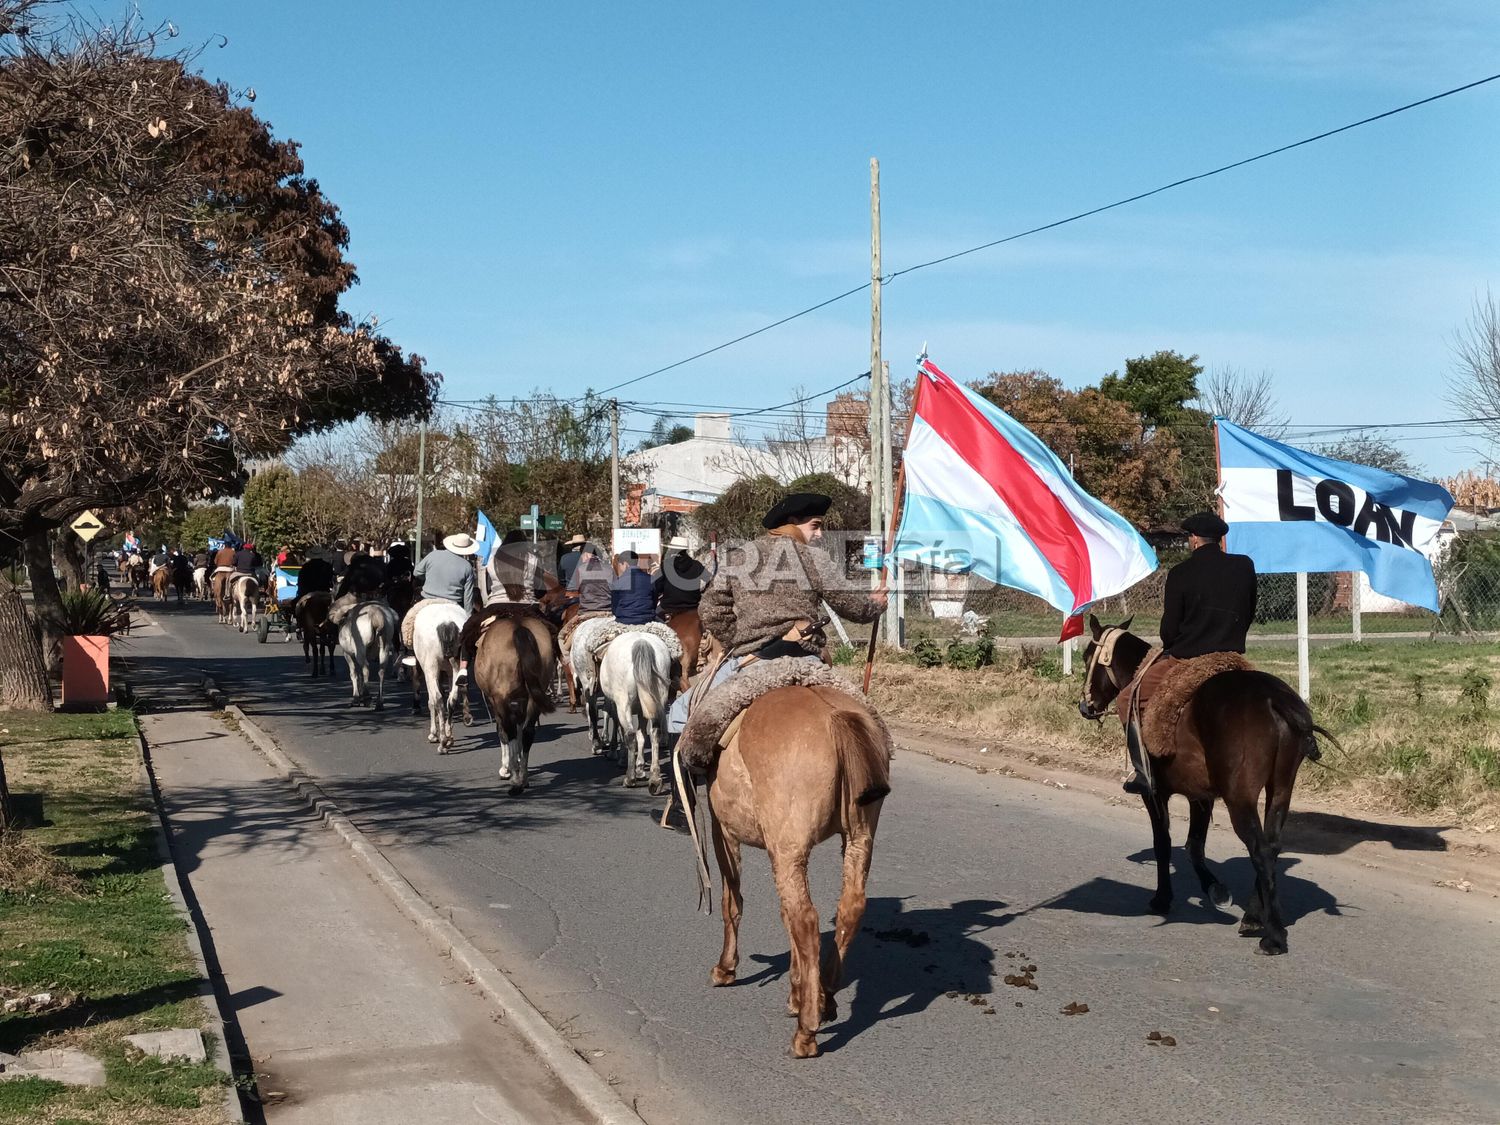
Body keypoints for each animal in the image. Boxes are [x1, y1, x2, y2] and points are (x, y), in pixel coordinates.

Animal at [411, 603, 468, 753]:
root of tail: (447, 623)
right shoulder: (448, 672)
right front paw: (448, 735)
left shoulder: (429, 671)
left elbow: (431, 701)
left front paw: (433, 734)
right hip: (457, 667)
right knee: (452, 699)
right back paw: (448, 737)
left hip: (431, 667)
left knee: (438, 699)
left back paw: (442, 742)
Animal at [468, 618, 558, 792]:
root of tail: (519, 627)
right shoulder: (521, 701)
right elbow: (519, 732)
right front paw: (517, 761)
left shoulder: (495, 701)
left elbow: (504, 731)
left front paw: (506, 768)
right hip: (535, 695)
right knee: (528, 732)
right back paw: (523, 778)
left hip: (501, 698)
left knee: (508, 730)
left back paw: (516, 780)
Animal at [597, 636, 675, 792]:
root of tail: (641, 642)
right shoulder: (642, 709)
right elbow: (642, 735)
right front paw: (640, 768)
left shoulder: (616, 704)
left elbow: (620, 727)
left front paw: (620, 756)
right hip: (657, 699)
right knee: (654, 732)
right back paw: (655, 779)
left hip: (624, 703)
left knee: (630, 734)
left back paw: (630, 778)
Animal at [702, 684, 888, 1062]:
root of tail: (835, 716)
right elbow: (784, 918)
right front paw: (798, 991)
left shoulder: (723, 831)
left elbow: (732, 902)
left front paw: (726, 968)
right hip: (857, 837)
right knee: (847, 909)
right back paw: (825, 996)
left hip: (788, 849)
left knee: (805, 920)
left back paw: (807, 1031)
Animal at [1080, 618, 1338, 960]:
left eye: (1087, 658)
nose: (1085, 706)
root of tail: (1274, 700)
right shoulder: (1200, 796)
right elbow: (1194, 845)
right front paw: (1215, 889)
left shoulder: (1155, 793)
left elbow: (1164, 842)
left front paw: (1164, 898)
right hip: (1281, 788)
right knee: (1271, 845)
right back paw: (1254, 917)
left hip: (1239, 797)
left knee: (1259, 849)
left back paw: (1272, 936)